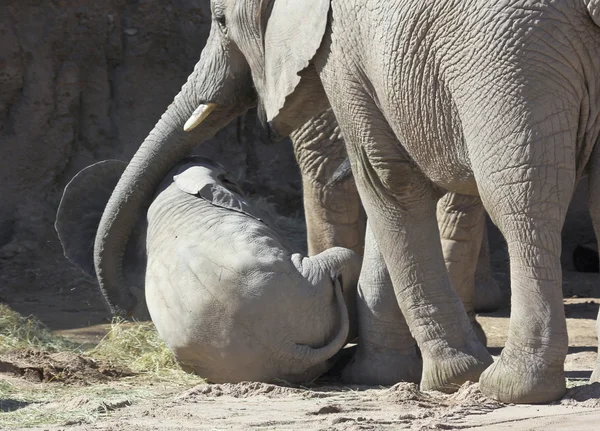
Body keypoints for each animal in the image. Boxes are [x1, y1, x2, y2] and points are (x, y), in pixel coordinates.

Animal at [96, 0, 600, 404]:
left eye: (221, 21)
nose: (126, 311)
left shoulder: (342, 52)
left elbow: (386, 178)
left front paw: (447, 377)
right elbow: (393, 182)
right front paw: (400, 372)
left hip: (511, 50)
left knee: (519, 194)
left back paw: (511, 387)